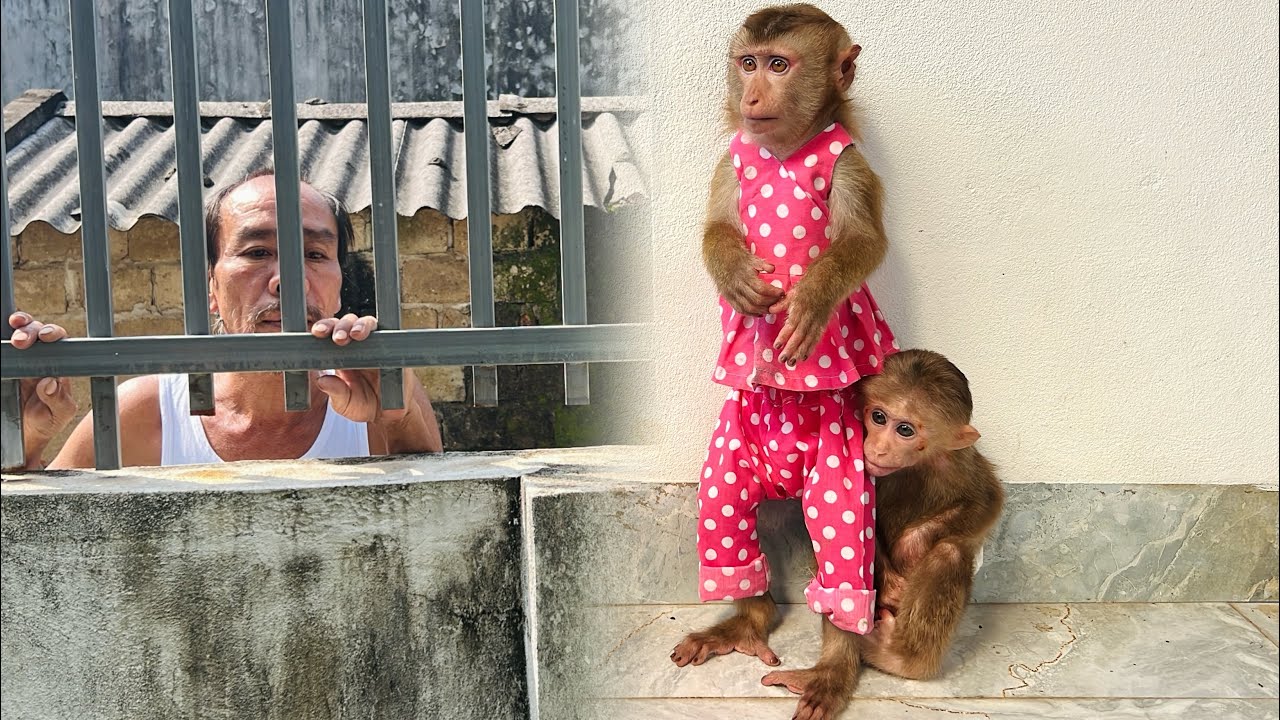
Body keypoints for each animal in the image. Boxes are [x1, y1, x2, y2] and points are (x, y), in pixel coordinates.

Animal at [672, 5, 900, 720]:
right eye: (747, 63)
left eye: (779, 65)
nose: (751, 95)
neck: (780, 152)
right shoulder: (731, 161)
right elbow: (715, 223)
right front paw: (734, 273)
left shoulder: (850, 164)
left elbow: (863, 240)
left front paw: (815, 299)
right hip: (735, 443)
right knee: (720, 505)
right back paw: (744, 620)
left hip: (838, 450)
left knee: (841, 535)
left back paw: (833, 664)